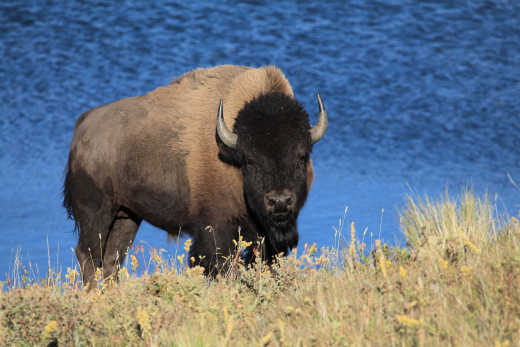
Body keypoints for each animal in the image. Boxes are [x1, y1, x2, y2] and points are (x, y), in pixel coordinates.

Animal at [63, 65, 328, 288]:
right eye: (250, 160)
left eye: (301, 156)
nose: (280, 201)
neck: (231, 156)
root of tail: (83, 126)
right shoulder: (215, 229)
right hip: (96, 213)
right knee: (88, 255)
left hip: (126, 215)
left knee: (112, 258)